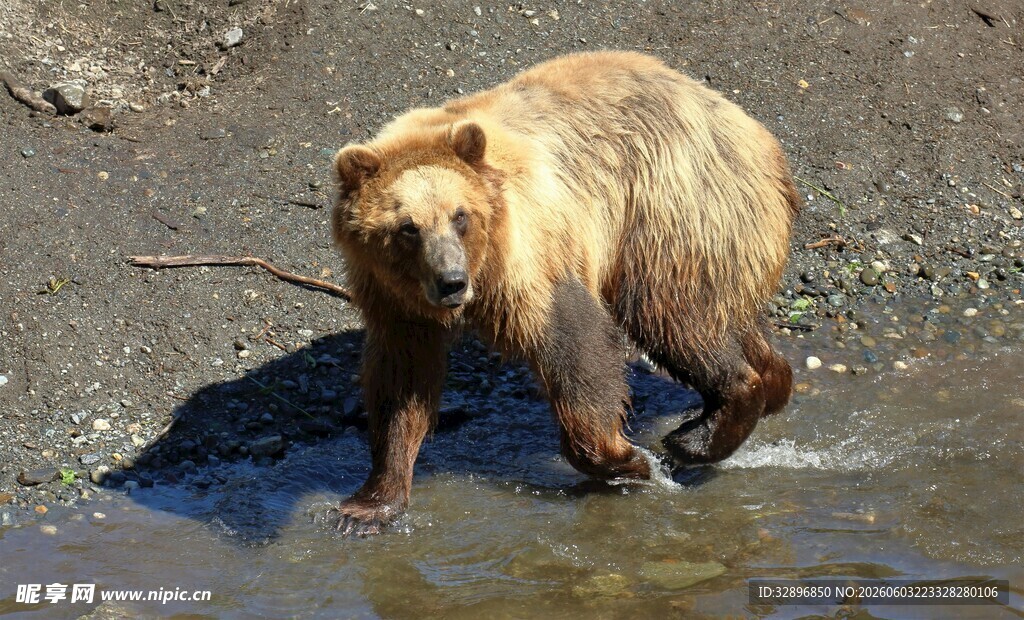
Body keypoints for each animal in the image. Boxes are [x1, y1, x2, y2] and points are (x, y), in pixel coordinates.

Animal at [330, 51, 799, 535]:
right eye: (408, 227)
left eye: (460, 215)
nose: (452, 281)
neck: (483, 268)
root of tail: (757, 135)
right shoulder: (396, 301)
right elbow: (402, 382)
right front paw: (368, 505)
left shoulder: (529, 257)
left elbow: (575, 348)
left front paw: (626, 461)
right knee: (730, 321)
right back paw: (770, 384)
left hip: (672, 211)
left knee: (672, 316)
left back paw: (697, 435)